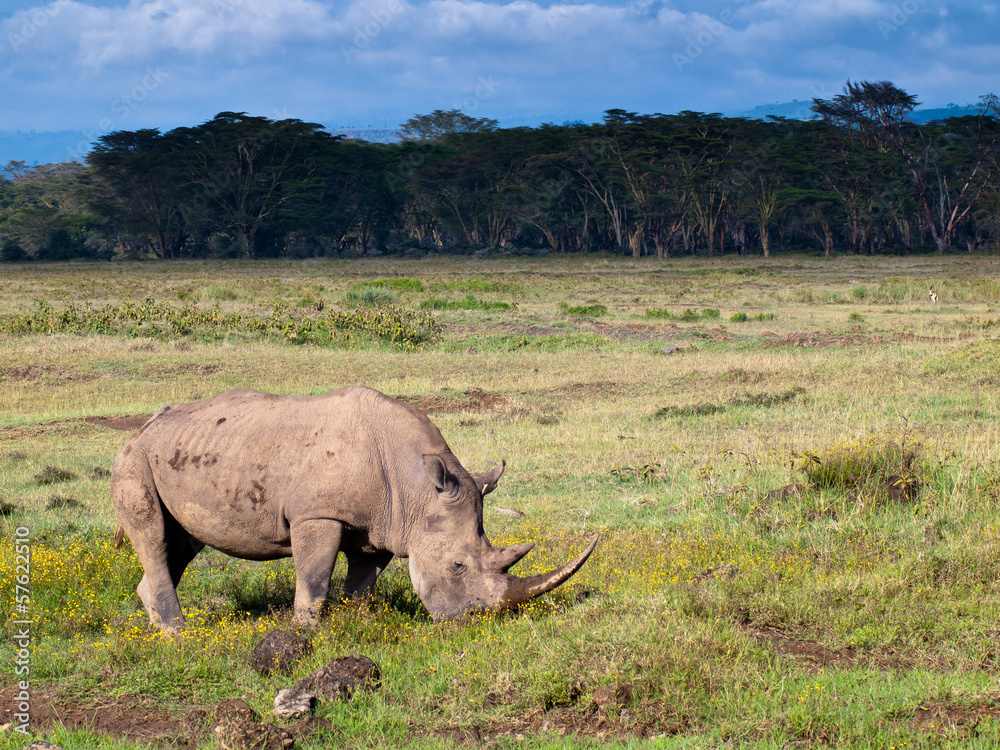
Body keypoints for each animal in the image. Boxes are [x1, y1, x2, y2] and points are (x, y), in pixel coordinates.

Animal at [112, 386, 598, 632]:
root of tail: (143, 428)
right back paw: (179, 633)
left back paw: (155, 625)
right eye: (458, 567)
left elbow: (361, 583)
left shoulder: (384, 526)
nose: (473, 622)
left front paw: (358, 623)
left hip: (180, 454)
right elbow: (314, 581)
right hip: (134, 460)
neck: (418, 487)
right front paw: (308, 636)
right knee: (153, 535)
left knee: (179, 544)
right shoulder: (317, 514)